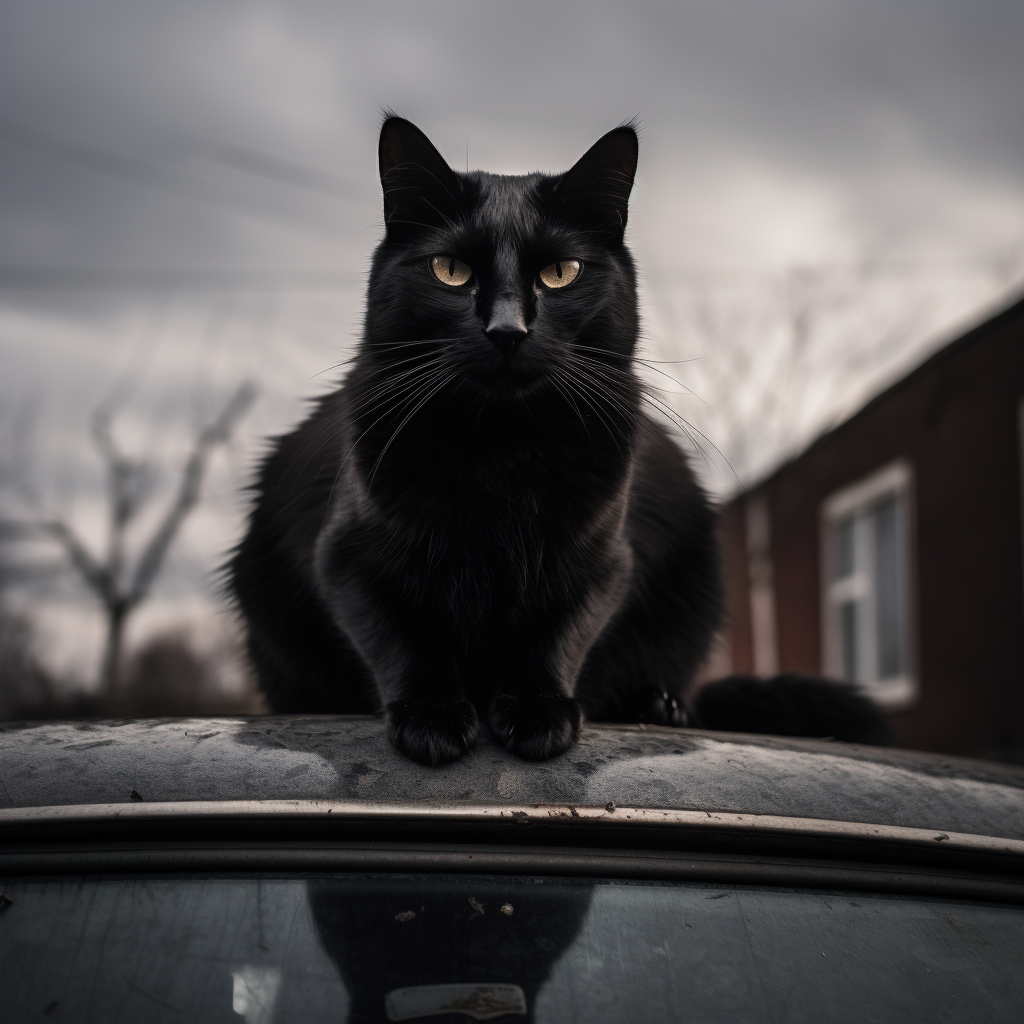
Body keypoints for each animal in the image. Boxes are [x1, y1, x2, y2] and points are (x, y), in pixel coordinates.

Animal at [230, 117, 888, 761]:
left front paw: (536, 710)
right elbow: (403, 637)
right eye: (451, 271)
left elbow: (555, 635)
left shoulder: (602, 563)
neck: (500, 451)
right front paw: (431, 715)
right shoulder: (344, 560)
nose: (507, 329)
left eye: (560, 273)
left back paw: (658, 706)